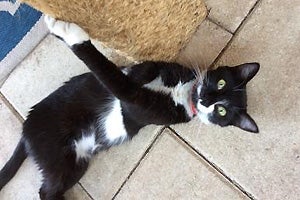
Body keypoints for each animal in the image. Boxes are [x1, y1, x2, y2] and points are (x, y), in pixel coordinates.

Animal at [0, 16, 260, 199]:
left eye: (221, 111)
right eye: (221, 82)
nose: (206, 99)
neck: (184, 93)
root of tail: (26, 129)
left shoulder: (138, 103)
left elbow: (116, 79)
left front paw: (69, 33)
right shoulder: (161, 69)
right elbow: (135, 70)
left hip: (67, 161)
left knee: (48, 190)